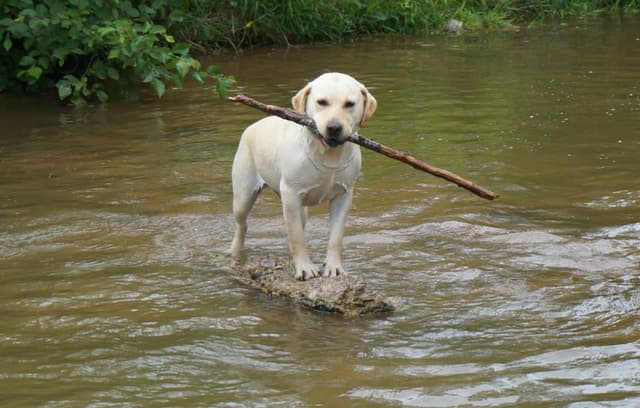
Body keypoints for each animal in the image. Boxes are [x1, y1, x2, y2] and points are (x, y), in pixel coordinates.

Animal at [230, 71, 378, 278]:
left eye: (349, 104)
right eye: (321, 102)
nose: (334, 127)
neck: (327, 154)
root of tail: (255, 124)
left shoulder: (344, 194)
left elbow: (336, 236)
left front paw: (334, 267)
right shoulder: (291, 194)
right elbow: (297, 237)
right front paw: (305, 268)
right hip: (244, 192)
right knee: (241, 224)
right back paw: (235, 252)